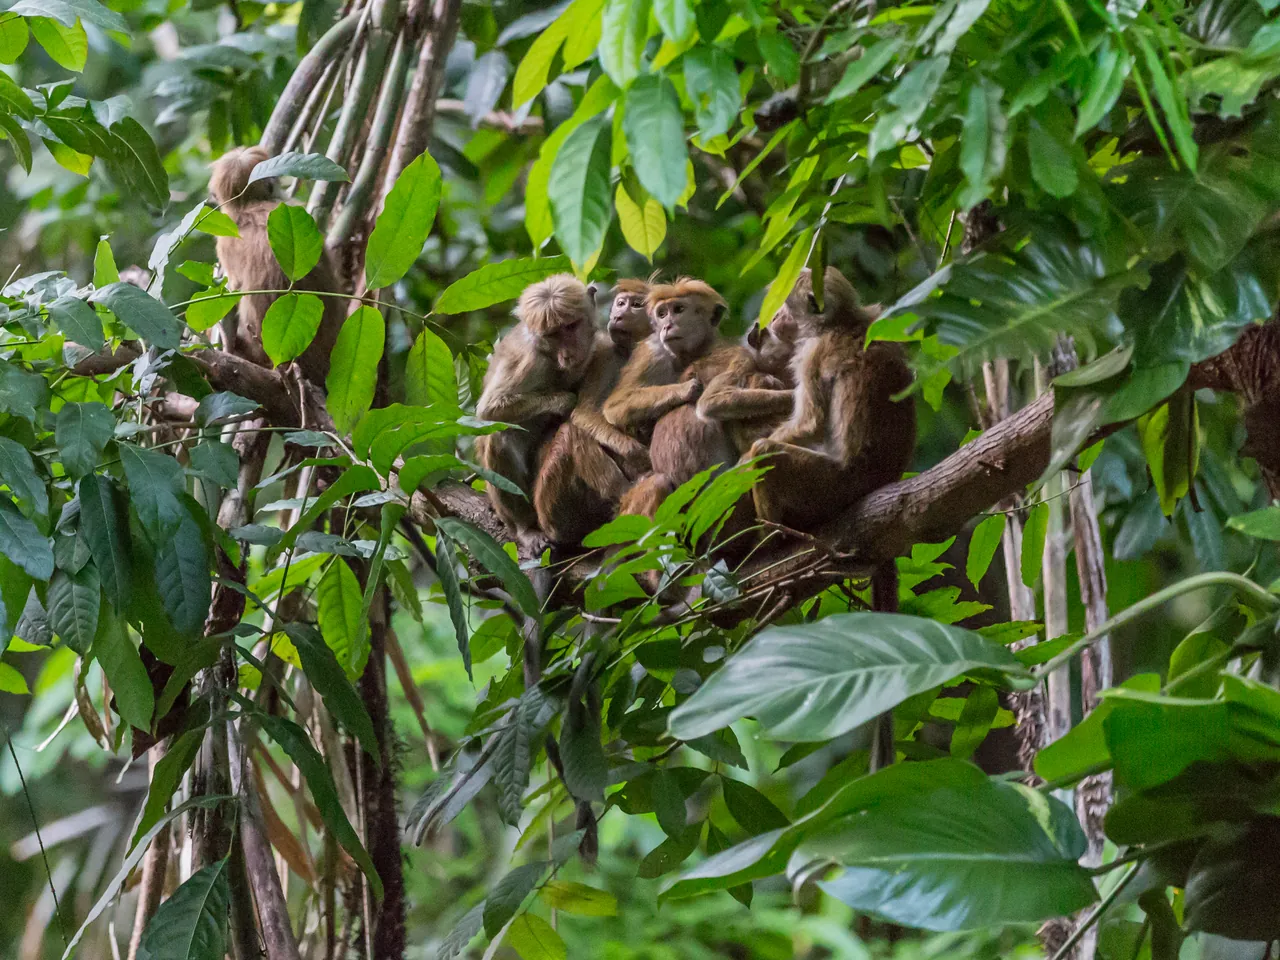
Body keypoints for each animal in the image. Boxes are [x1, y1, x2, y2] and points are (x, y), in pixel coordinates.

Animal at [473, 275, 597, 545]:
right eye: (553, 334)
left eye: (570, 327)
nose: (567, 353)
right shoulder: (532, 362)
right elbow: (489, 412)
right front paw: (563, 402)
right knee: (499, 434)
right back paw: (525, 527)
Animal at [747, 266, 916, 532]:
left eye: (786, 306)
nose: (774, 318)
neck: (837, 324)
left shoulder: (812, 354)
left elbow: (810, 424)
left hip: (834, 487)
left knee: (765, 451)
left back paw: (774, 535)